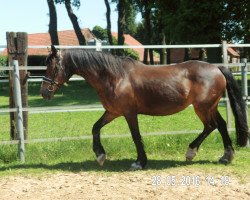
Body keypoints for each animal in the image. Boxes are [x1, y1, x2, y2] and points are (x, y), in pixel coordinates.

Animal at [40, 45, 249, 170]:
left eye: (52, 66)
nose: (44, 93)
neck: (115, 76)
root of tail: (217, 68)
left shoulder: (129, 113)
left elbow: (135, 136)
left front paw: (140, 162)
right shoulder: (113, 112)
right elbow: (95, 128)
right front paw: (100, 156)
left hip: (203, 107)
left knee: (214, 126)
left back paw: (207, 154)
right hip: (208, 107)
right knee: (218, 125)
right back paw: (219, 155)